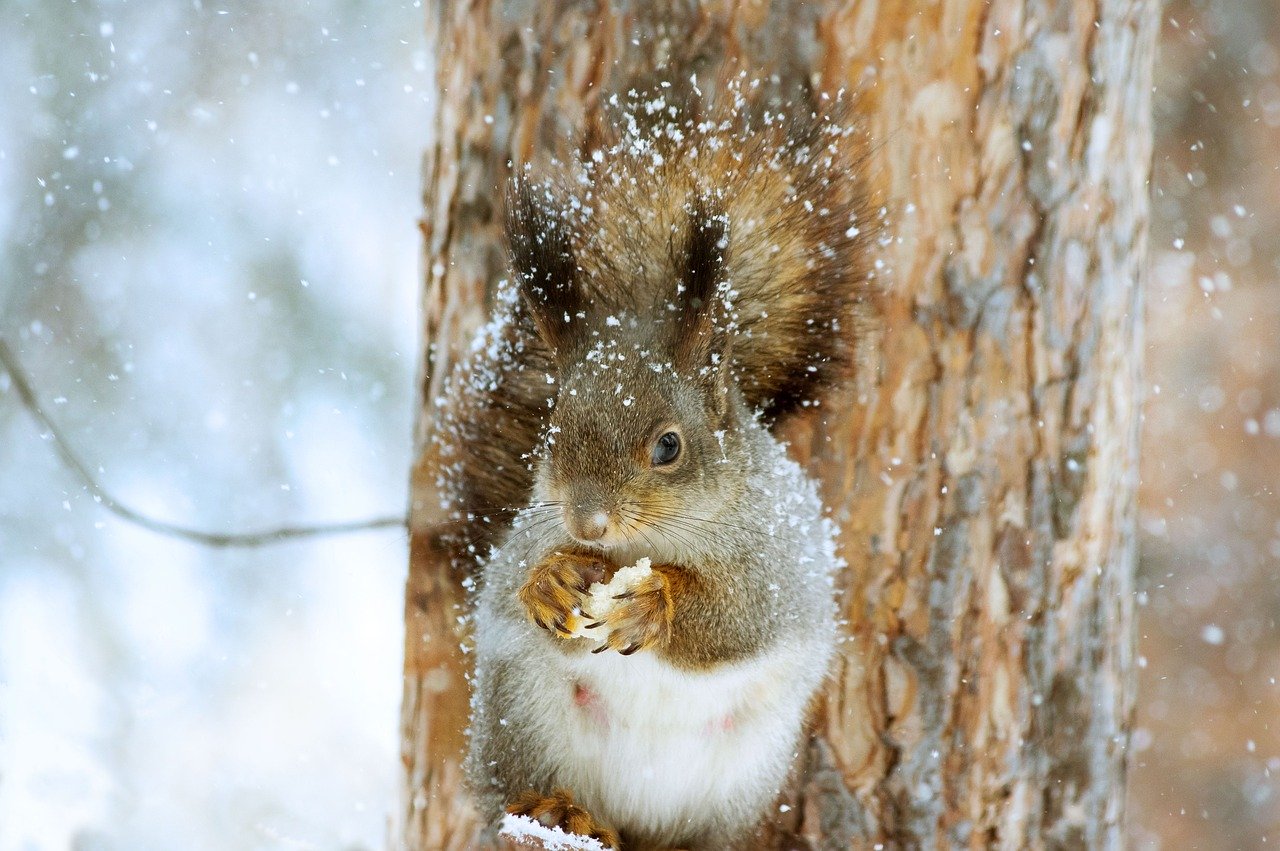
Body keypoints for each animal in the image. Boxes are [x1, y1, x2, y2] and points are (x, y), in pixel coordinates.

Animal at [461, 91, 877, 850]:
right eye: (551, 434)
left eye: (669, 447)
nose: (587, 522)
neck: (649, 542)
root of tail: (636, 818)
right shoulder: (525, 537)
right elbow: (510, 582)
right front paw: (550, 582)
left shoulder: (780, 563)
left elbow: (741, 618)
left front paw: (658, 602)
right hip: (520, 712)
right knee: (514, 790)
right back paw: (557, 811)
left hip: (744, 772)